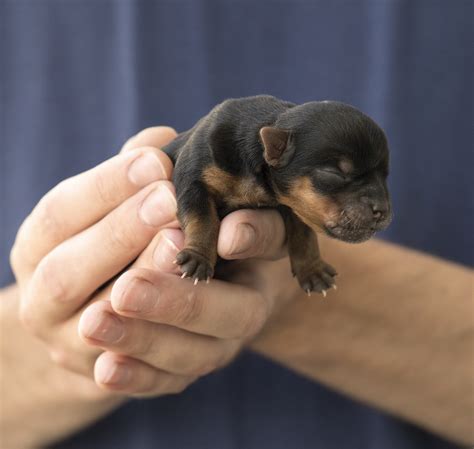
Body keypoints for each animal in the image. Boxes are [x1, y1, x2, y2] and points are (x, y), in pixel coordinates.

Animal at [163, 94, 392, 294]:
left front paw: (313, 270)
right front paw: (198, 258)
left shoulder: (297, 205)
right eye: (334, 173)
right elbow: (203, 219)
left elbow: (304, 234)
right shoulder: (194, 178)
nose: (382, 210)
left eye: (385, 176)